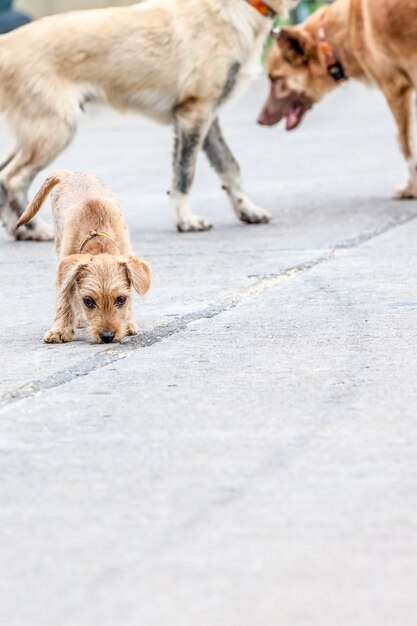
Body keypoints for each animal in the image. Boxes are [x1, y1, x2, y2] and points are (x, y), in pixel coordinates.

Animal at [0, 0, 300, 240]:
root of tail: (7, 43)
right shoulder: (194, 113)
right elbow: (184, 175)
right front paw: (186, 221)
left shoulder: (208, 117)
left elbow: (230, 167)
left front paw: (247, 209)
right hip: (55, 130)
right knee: (12, 179)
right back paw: (36, 229)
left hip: (35, 132)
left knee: (4, 176)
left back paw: (18, 230)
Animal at [17, 171, 153, 344]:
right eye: (88, 301)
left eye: (121, 299)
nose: (107, 336)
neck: (98, 241)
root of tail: (70, 173)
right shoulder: (65, 270)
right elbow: (64, 300)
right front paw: (59, 330)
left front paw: (128, 323)